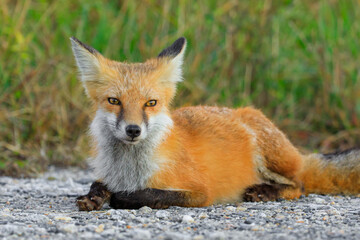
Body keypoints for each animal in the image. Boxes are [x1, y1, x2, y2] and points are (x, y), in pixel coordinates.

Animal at [71, 36, 360, 211]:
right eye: (114, 101)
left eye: (150, 103)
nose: (133, 130)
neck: (130, 169)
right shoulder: (107, 175)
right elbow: (98, 185)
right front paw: (94, 196)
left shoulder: (199, 192)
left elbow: (144, 195)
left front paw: (118, 197)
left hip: (270, 154)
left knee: (299, 185)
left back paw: (264, 192)